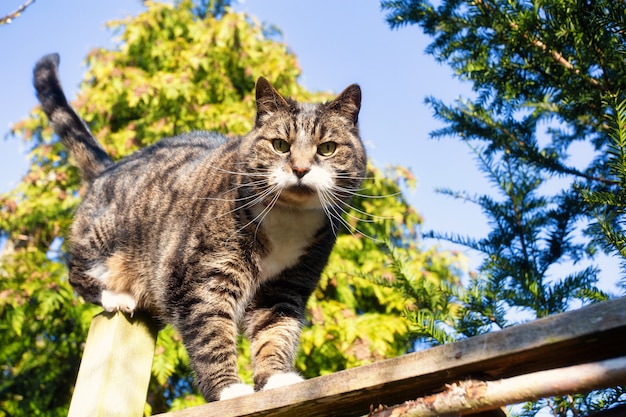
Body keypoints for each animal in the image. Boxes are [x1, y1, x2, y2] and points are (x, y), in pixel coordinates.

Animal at [33, 53, 366, 402]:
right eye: (280, 145)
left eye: (327, 148)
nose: (300, 169)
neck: (288, 220)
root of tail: (111, 167)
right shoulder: (203, 279)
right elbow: (211, 334)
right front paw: (229, 390)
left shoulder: (286, 286)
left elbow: (274, 333)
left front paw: (277, 379)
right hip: (102, 240)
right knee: (76, 272)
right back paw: (116, 296)